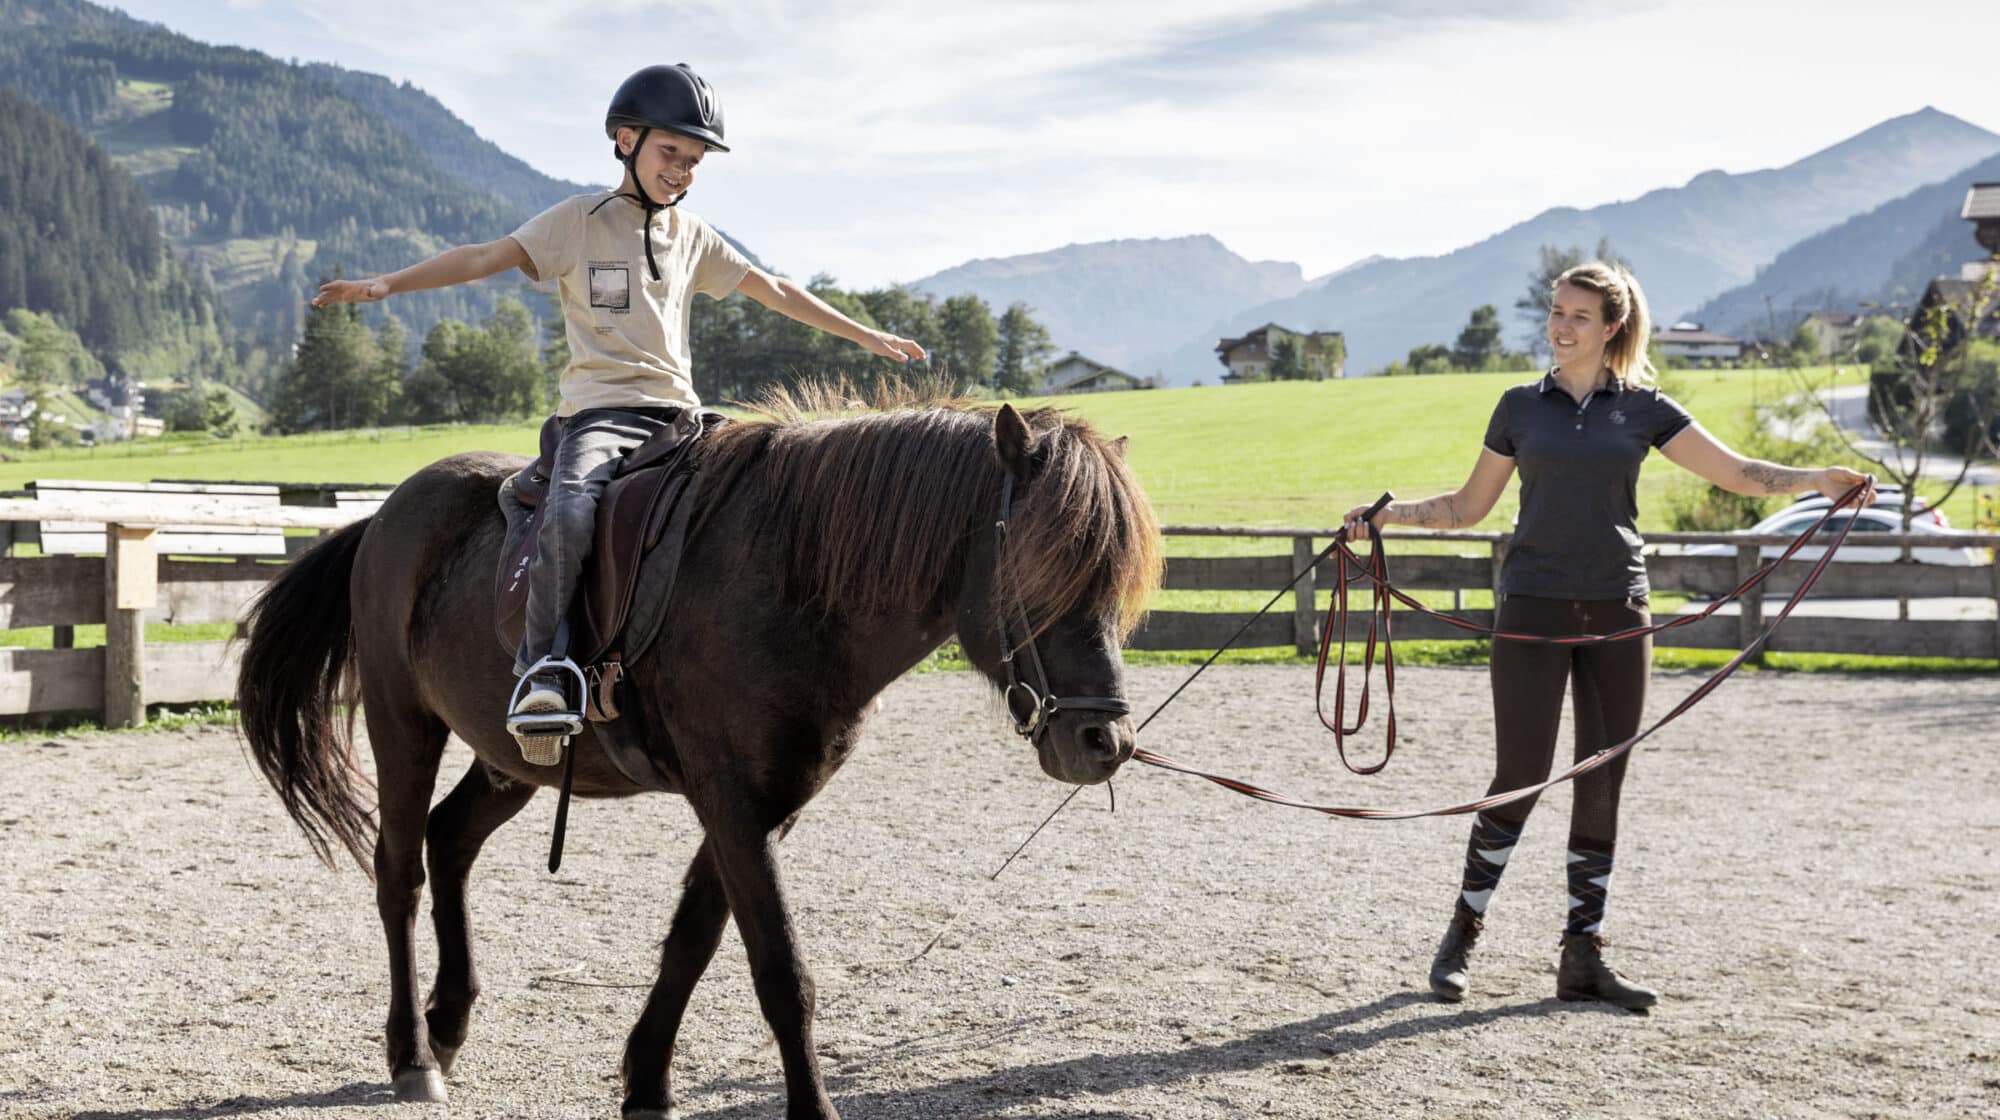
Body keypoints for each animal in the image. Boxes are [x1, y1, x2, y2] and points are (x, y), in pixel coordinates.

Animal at [238, 396, 1160, 1120]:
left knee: (449, 840)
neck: (789, 579)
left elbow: (693, 939)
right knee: (399, 870)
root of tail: (387, 514)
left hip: (513, 760)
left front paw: (646, 1082)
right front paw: (810, 1111)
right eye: (1042, 565)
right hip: (403, 723)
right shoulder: (733, 802)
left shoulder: (764, 807)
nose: (1103, 742)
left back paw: (449, 1022)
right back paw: (413, 1054)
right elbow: (781, 972)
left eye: (1118, 579)